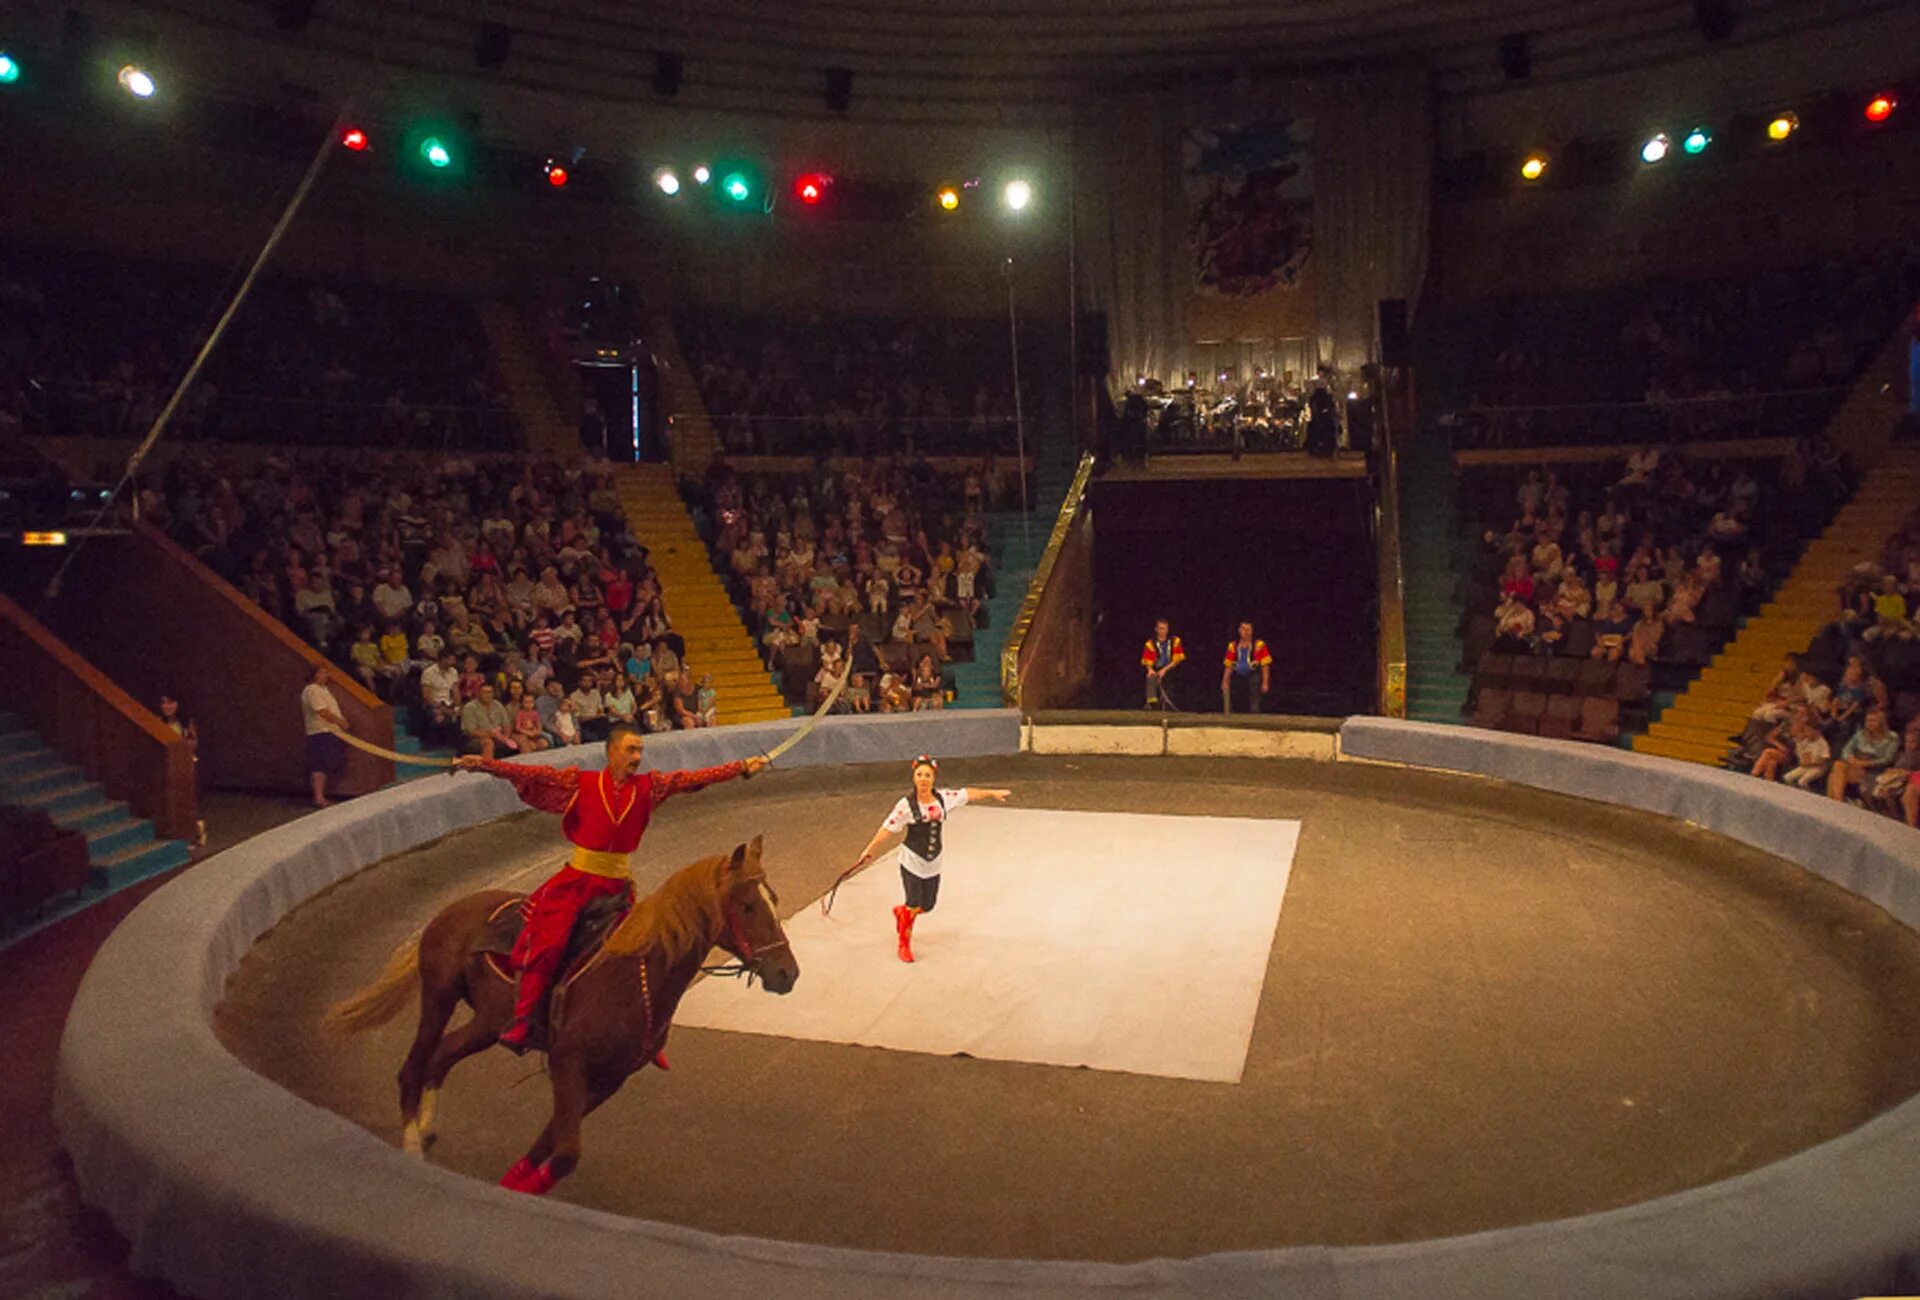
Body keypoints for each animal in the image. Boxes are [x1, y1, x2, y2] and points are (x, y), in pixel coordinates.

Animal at [322, 837, 794, 1190]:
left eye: (775, 899)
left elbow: (549, 1143)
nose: (788, 973)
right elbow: (566, 1153)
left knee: (442, 1056)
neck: (635, 974)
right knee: (414, 1066)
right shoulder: (569, 1063)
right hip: (439, 996)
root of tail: (453, 908)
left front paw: (512, 1184)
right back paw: (412, 1146)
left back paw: (424, 1127)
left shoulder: (609, 1078)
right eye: (748, 906)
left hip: (487, 1024)